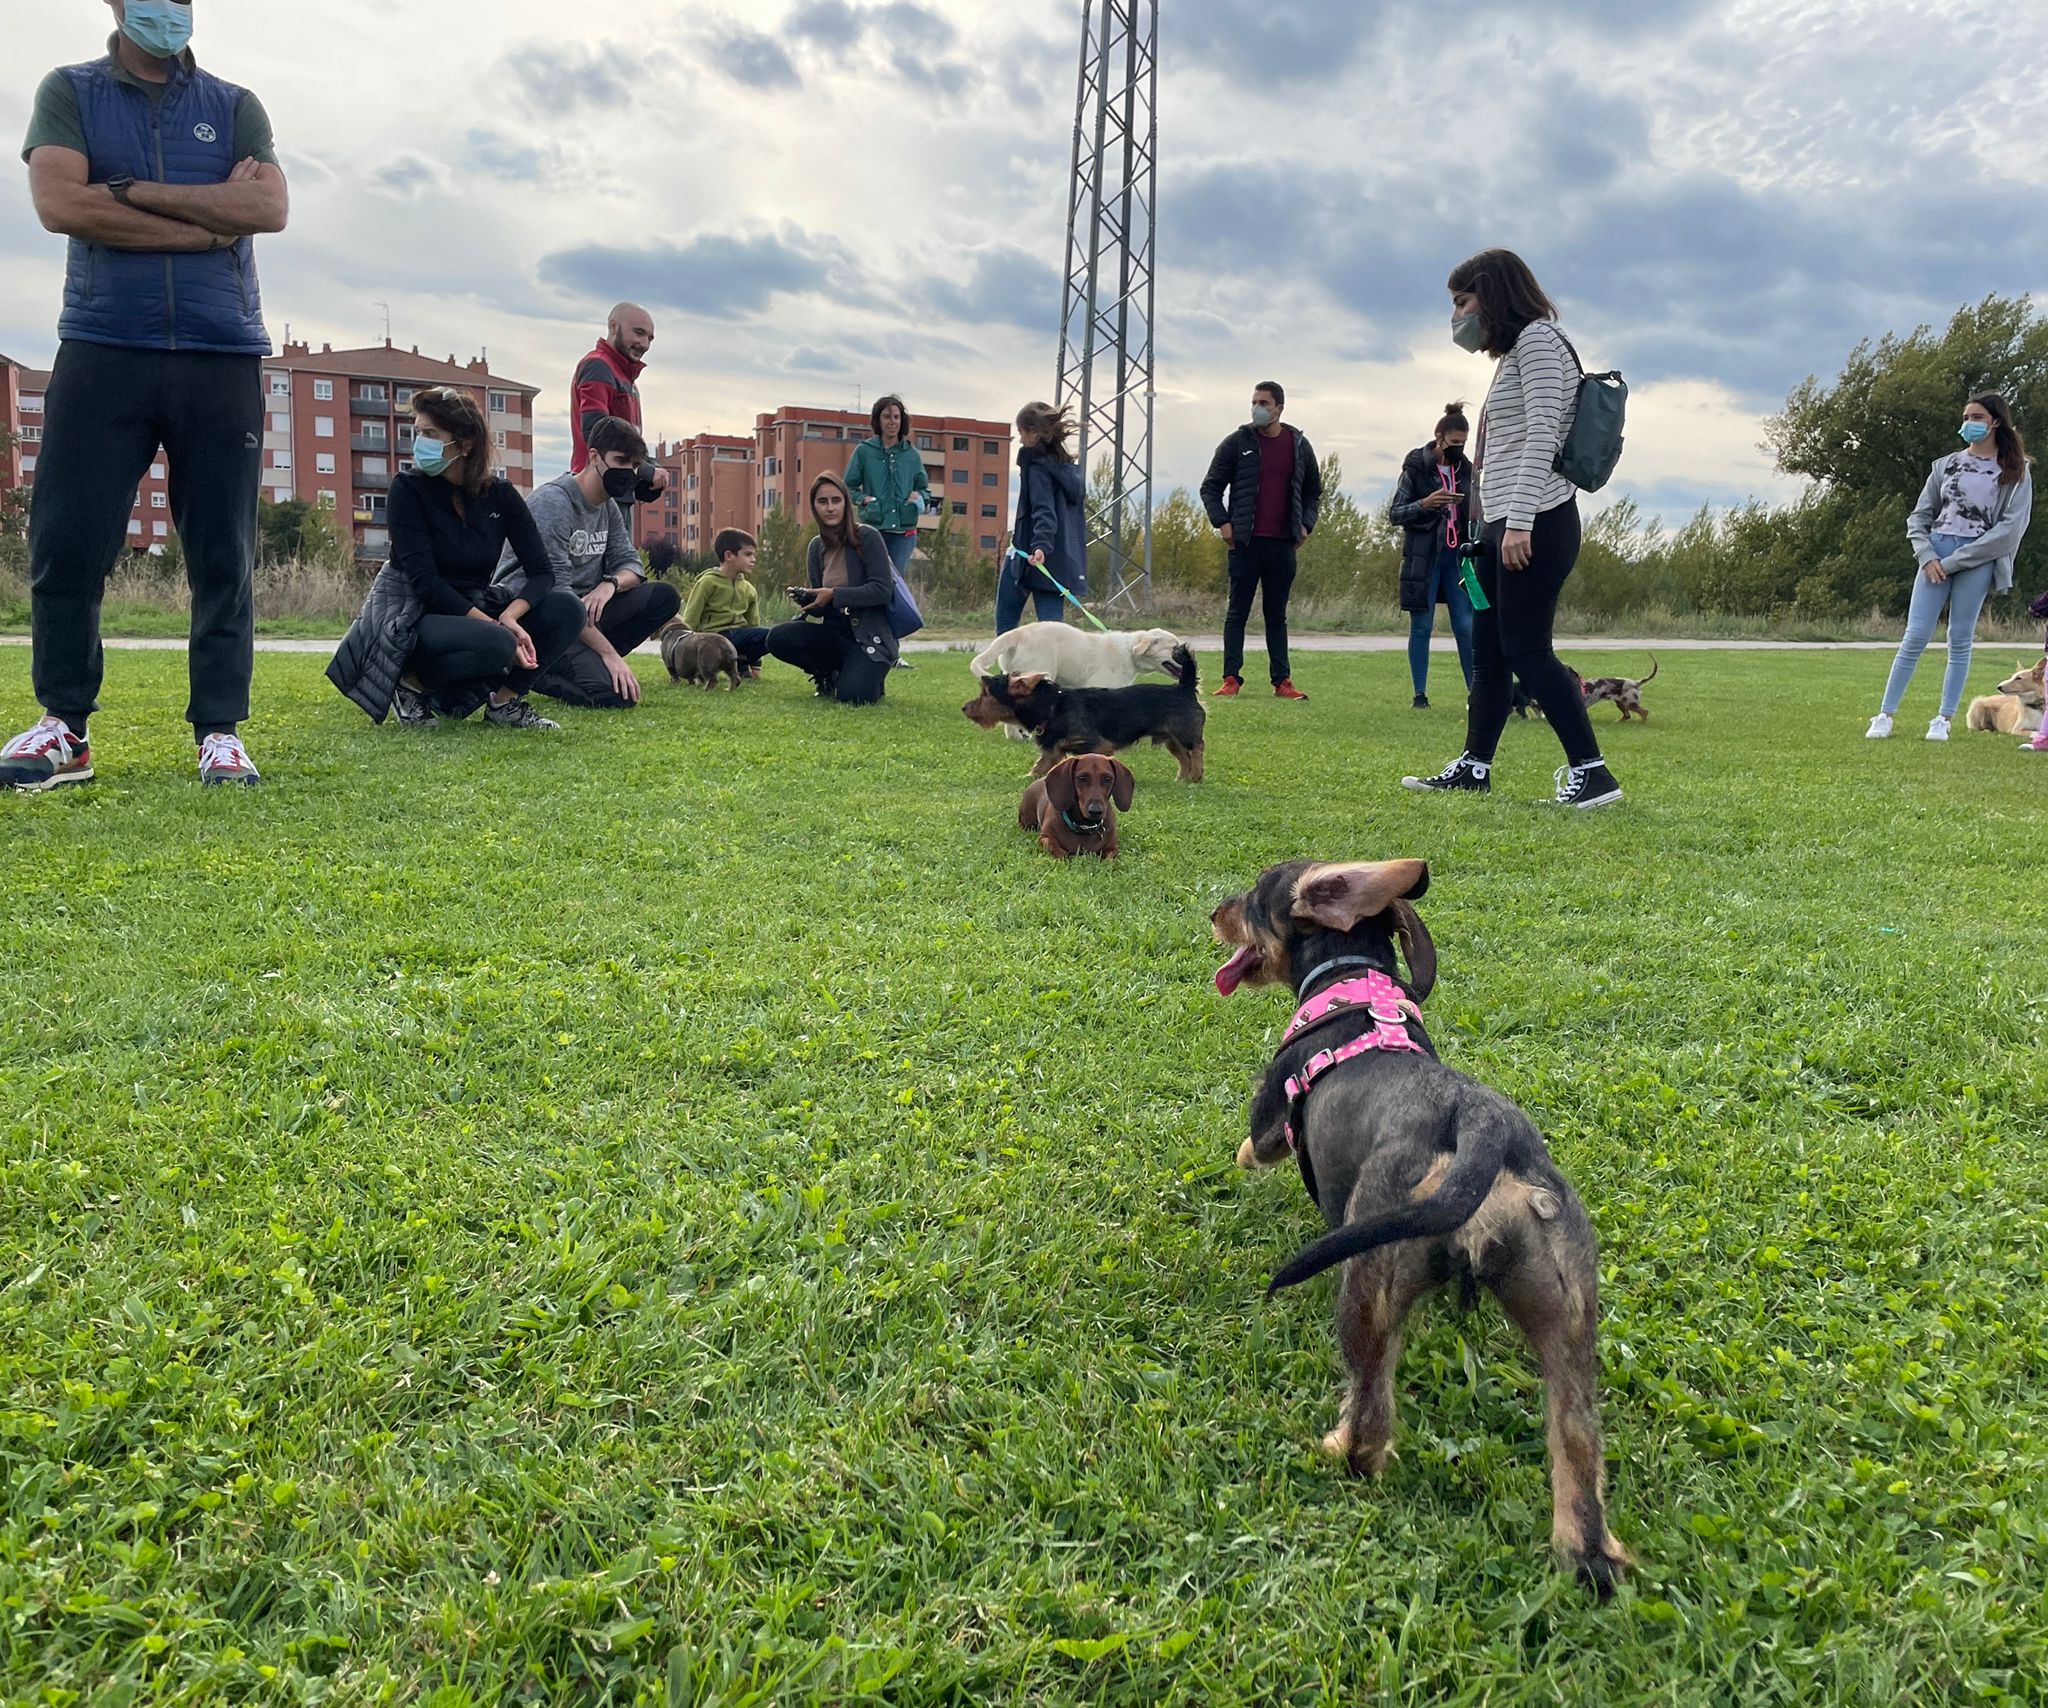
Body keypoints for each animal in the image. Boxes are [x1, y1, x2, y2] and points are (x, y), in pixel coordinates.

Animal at [966, 643, 1204, 782]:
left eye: (985, 692)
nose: (964, 708)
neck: (1053, 706)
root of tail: (1184, 687)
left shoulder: (1098, 745)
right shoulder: (1052, 751)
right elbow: (1039, 768)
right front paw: (1028, 778)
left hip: (1185, 733)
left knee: (1197, 750)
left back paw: (1196, 775)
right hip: (1172, 739)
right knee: (1184, 757)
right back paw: (1183, 778)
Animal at [1212, 860, 1630, 1589]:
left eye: (1255, 897)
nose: (1215, 913)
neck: (1352, 980)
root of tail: (1480, 1125)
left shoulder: (1268, 1126)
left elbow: (1251, 1147)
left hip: (1369, 1287)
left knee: (1371, 1420)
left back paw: (1338, 1450)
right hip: (1568, 1310)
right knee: (1578, 1445)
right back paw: (1588, 1553)